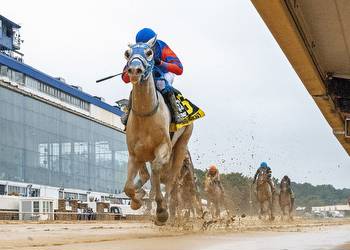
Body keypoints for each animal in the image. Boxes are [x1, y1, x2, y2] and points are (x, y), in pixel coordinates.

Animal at [122, 38, 194, 226]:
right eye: (127, 53)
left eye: (149, 53)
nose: (134, 70)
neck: (146, 114)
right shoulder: (134, 153)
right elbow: (128, 186)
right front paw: (136, 200)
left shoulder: (164, 148)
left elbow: (156, 171)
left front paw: (161, 211)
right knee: (150, 176)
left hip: (181, 145)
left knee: (170, 180)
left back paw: (167, 209)